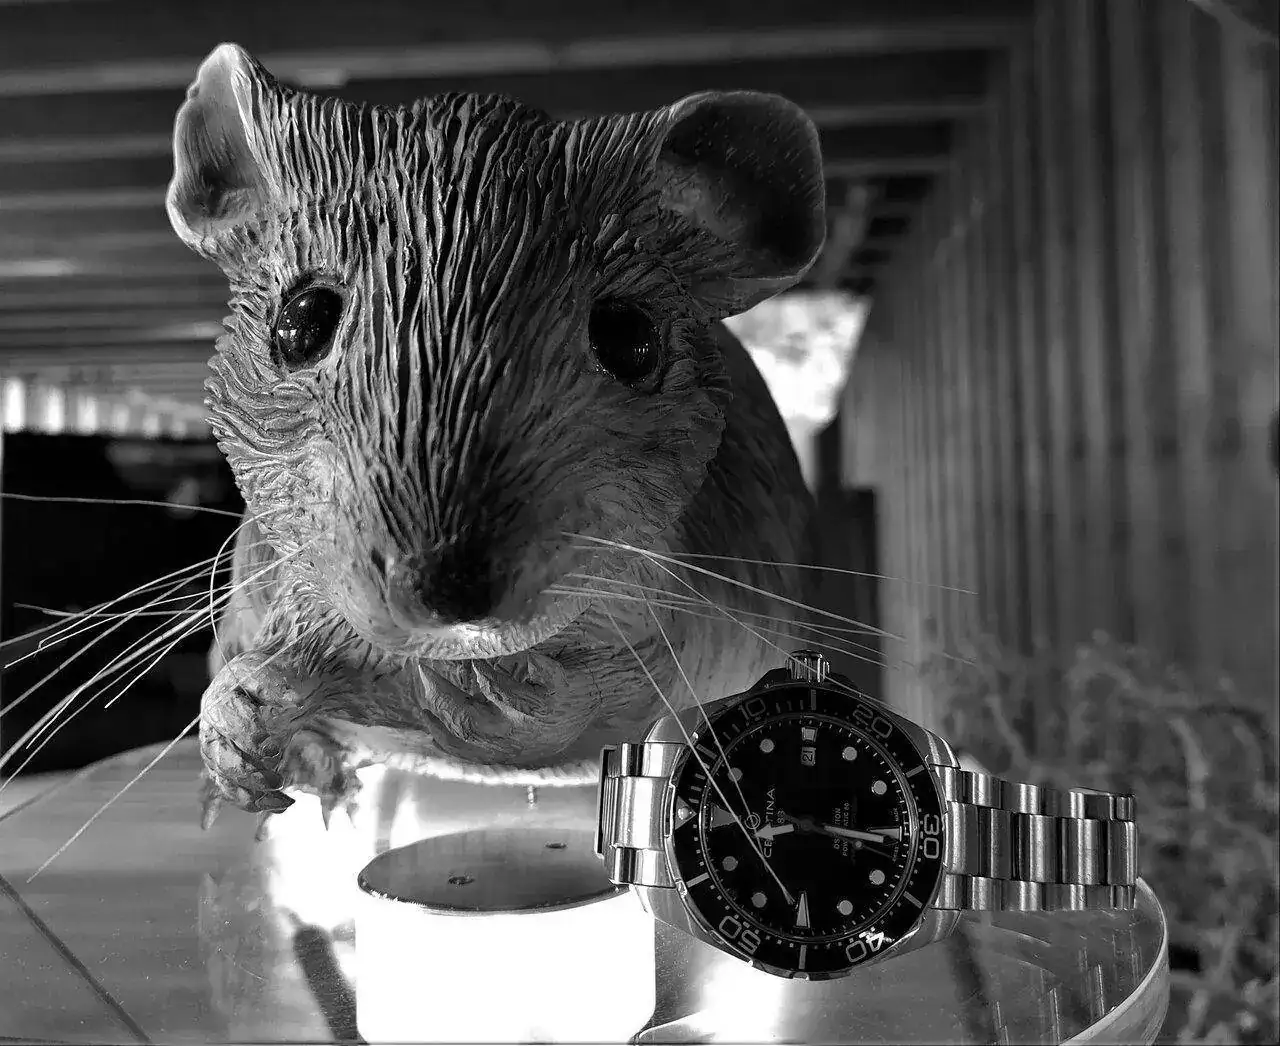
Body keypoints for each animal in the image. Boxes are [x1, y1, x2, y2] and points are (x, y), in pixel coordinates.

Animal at [165, 43, 826, 820]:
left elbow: (586, 693)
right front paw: (247, 736)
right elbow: (239, 681)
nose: (444, 598)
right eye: (299, 322)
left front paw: (483, 693)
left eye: (633, 340)